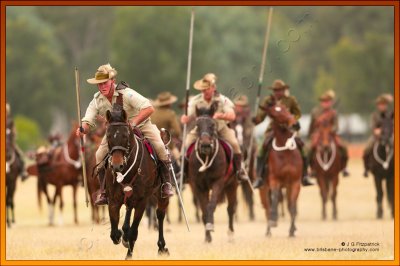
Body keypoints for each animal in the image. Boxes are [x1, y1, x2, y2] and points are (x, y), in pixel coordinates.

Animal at [104, 105, 169, 258]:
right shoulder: (113, 200)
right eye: (108, 136)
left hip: (160, 194)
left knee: (160, 214)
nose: (117, 166)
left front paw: (128, 254)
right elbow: (114, 233)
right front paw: (121, 235)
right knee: (128, 210)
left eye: (125, 135)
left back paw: (161, 247)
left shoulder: (141, 201)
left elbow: (134, 232)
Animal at [188, 102, 238, 243]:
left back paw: (231, 234)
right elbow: (204, 209)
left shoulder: (218, 182)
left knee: (230, 209)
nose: (205, 145)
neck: (206, 157)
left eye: (212, 124)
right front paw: (207, 237)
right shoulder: (198, 186)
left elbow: (211, 205)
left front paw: (210, 226)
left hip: (232, 185)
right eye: (197, 125)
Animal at [258, 96, 302, 238]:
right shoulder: (274, 181)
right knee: (267, 206)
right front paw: (273, 220)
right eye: (273, 114)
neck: (286, 151)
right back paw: (268, 230)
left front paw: (292, 231)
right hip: (263, 188)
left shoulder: (295, 182)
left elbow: (292, 207)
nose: (295, 124)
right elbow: (275, 200)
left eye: (286, 109)